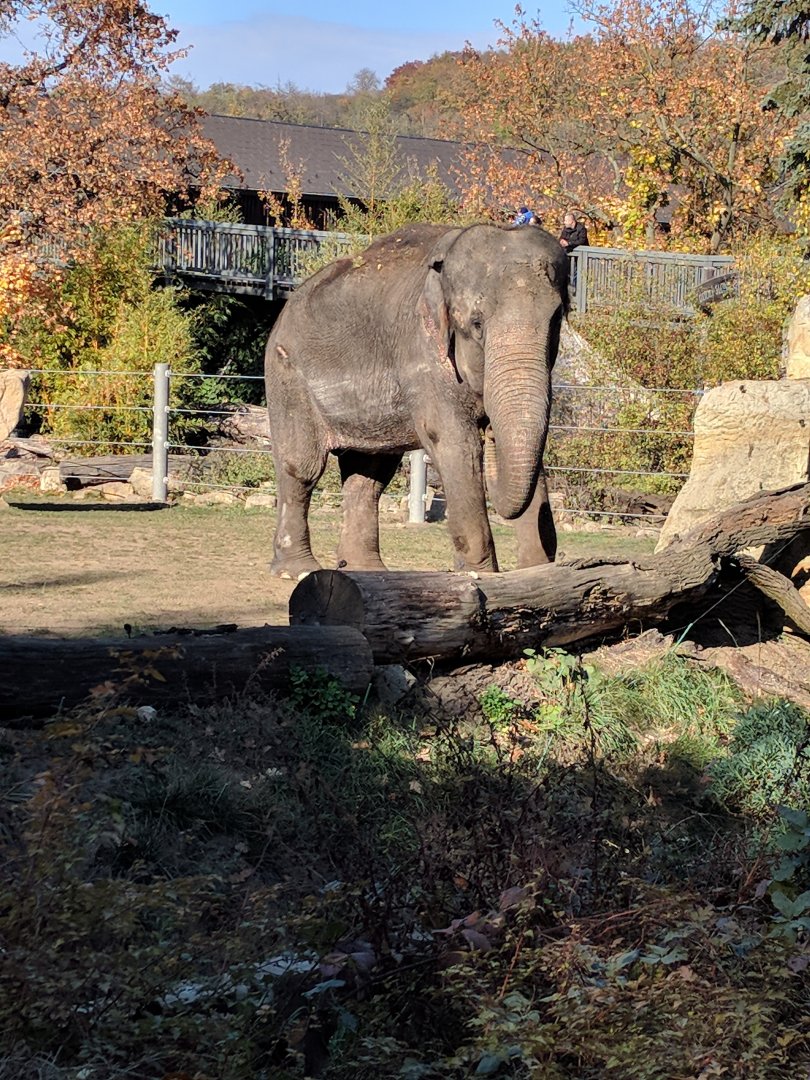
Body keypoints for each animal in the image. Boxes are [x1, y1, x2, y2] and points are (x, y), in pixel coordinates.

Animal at [264, 221, 569, 577]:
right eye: (477, 323)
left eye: (556, 320)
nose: (491, 429)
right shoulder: (421, 352)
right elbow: (454, 443)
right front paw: (478, 574)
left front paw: (537, 573)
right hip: (287, 375)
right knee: (302, 468)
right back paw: (298, 570)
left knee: (369, 475)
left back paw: (367, 571)